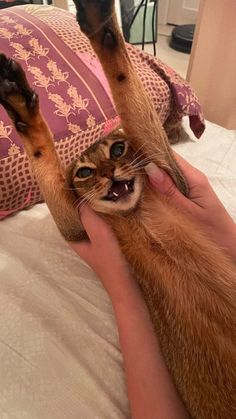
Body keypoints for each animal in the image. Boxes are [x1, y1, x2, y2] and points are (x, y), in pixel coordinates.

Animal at [0, 1, 235, 418]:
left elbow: (126, 87)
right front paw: (19, 104)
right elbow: (43, 154)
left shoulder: (166, 166)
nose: (110, 175)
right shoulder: (75, 223)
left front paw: (100, 21)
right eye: (85, 172)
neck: (135, 213)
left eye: (118, 150)